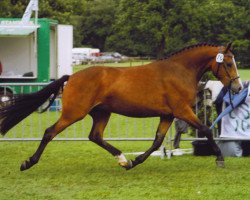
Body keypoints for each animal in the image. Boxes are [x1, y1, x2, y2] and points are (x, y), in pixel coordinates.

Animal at [0, 42, 242, 170]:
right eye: (229, 63)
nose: (238, 87)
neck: (180, 71)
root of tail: (72, 77)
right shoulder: (182, 111)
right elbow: (205, 130)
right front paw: (220, 158)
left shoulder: (168, 115)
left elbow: (157, 141)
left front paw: (136, 161)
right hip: (74, 113)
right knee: (50, 132)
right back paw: (28, 163)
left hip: (101, 113)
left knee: (95, 136)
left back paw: (123, 160)